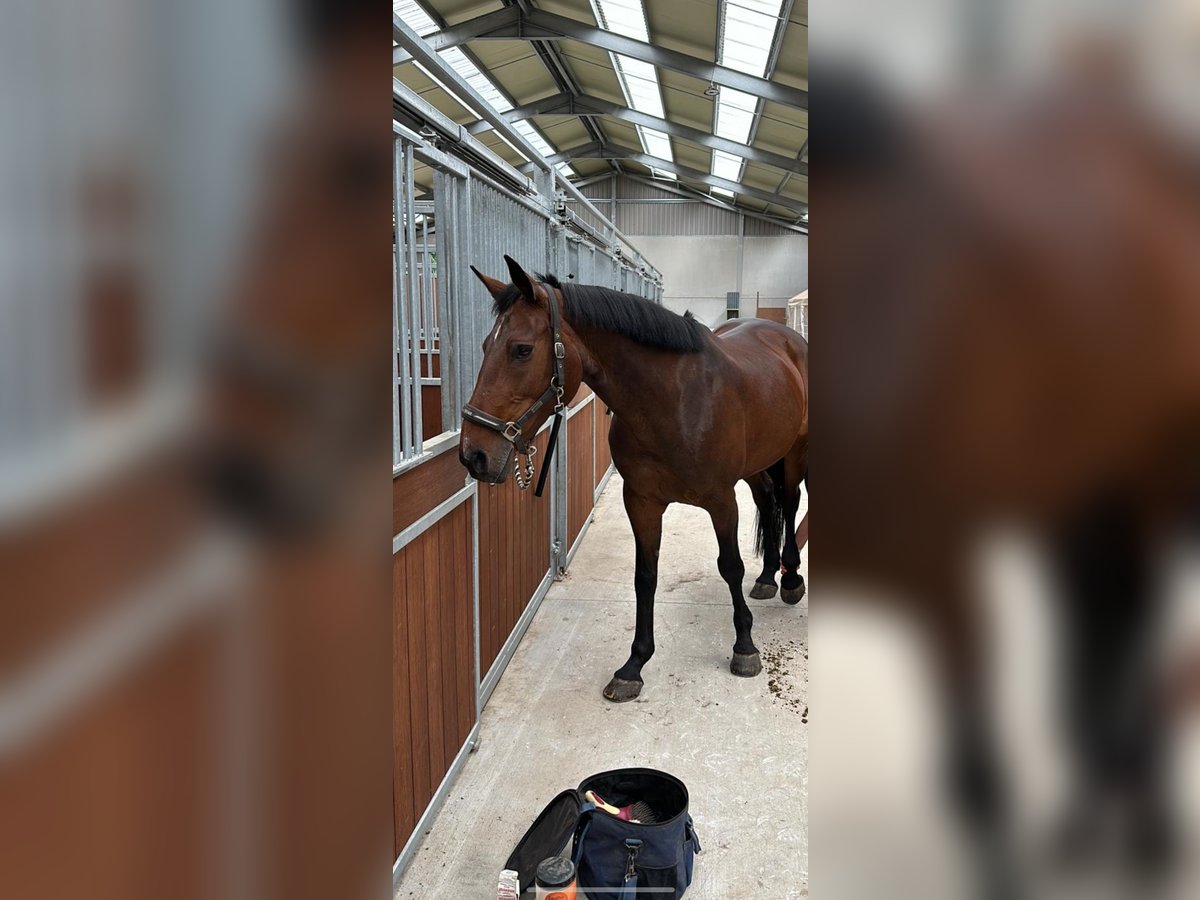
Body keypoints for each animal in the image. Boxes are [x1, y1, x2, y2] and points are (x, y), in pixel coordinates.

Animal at [459, 256, 809, 702]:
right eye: (486, 346)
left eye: (521, 350)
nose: (474, 455)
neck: (674, 401)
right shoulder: (641, 501)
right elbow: (645, 576)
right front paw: (634, 665)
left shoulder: (720, 500)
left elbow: (729, 566)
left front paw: (744, 646)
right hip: (754, 467)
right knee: (767, 500)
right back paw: (766, 578)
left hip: (793, 453)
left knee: (789, 502)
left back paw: (791, 578)